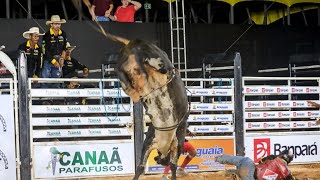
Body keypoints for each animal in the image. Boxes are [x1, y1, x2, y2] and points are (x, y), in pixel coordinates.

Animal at [101, 29, 189, 179]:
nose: (159, 160)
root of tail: (135, 42)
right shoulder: (163, 142)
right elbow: (168, 166)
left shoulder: (152, 142)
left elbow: (142, 167)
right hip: (154, 58)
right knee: (158, 68)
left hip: (125, 59)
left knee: (120, 69)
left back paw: (133, 87)